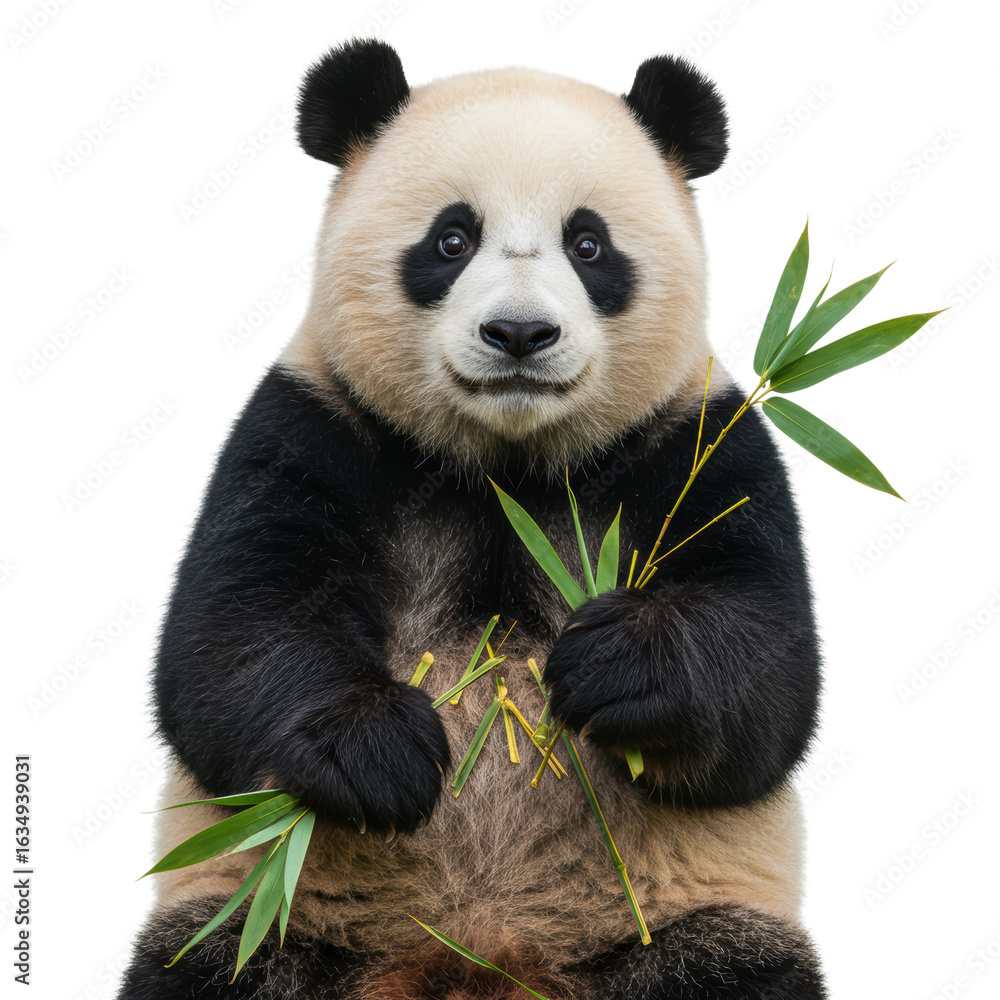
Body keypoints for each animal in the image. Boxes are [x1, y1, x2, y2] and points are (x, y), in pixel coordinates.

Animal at [119, 39, 825, 1000]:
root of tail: (477, 957)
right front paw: (376, 750)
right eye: (451, 239)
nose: (519, 334)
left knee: (732, 967)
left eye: (588, 243)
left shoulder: (697, 438)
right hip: (270, 913)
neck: (505, 464)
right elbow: (235, 632)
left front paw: (618, 662)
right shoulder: (314, 425)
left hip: (681, 922)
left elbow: (766, 662)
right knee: (217, 960)